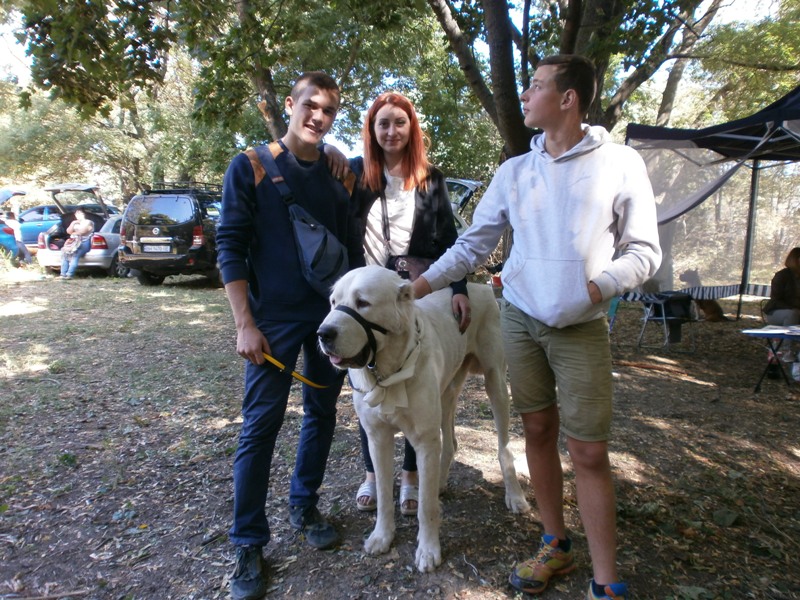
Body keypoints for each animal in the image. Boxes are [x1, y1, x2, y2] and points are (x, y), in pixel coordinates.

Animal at [317, 265, 529, 572]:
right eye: (334, 302)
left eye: (363, 303)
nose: (323, 333)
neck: (388, 373)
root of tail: (481, 287)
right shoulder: (377, 439)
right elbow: (383, 494)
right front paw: (382, 536)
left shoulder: (424, 442)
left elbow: (424, 507)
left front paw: (428, 550)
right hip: (447, 393)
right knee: (450, 443)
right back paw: (439, 483)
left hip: (496, 383)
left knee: (504, 448)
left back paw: (514, 496)